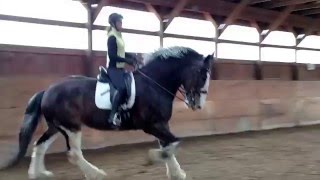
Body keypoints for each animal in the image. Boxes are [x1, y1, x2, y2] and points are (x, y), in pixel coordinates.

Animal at [3, 46, 212, 180]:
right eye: (202, 75)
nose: (198, 104)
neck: (153, 83)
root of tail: (47, 90)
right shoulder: (152, 125)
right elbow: (174, 143)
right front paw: (154, 158)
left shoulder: (161, 124)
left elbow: (169, 144)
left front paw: (177, 173)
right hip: (71, 127)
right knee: (74, 153)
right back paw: (96, 174)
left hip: (56, 126)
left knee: (40, 146)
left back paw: (38, 174)